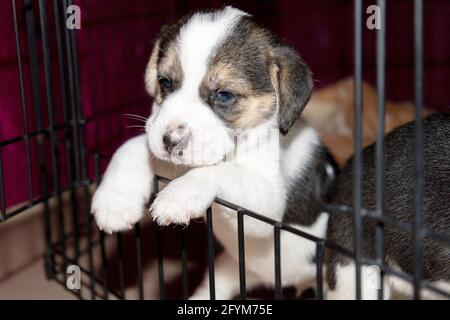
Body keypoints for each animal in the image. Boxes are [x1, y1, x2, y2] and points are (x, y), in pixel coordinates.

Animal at [90, 6, 334, 298]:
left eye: (224, 95)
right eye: (165, 82)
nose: (170, 141)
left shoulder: (268, 205)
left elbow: (222, 171)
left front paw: (180, 195)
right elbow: (133, 146)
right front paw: (114, 201)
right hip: (226, 269)